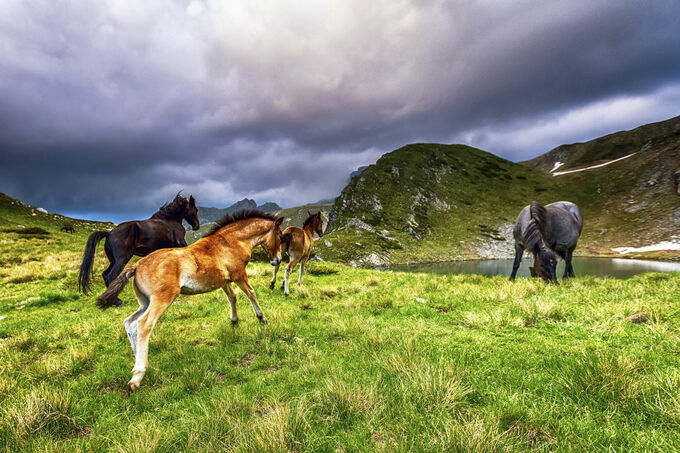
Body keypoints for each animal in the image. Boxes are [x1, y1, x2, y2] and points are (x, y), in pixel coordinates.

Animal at [95, 210, 282, 390]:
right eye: (280, 236)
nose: (277, 260)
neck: (230, 242)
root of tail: (137, 266)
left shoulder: (223, 281)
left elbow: (232, 297)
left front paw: (234, 321)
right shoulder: (239, 274)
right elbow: (251, 293)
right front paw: (262, 319)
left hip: (145, 302)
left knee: (130, 322)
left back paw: (139, 363)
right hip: (161, 299)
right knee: (144, 324)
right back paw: (137, 376)